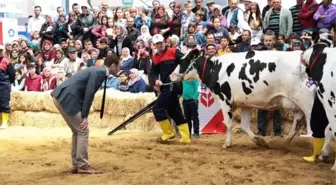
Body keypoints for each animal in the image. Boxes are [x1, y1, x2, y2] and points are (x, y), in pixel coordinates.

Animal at [171, 48, 316, 148]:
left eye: (182, 61)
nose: (170, 76)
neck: (215, 69)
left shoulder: (225, 100)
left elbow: (228, 123)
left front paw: (227, 144)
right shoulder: (245, 103)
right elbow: (245, 125)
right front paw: (259, 140)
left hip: (307, 101)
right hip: (297, 104)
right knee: (297, 123)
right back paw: (285, 143)